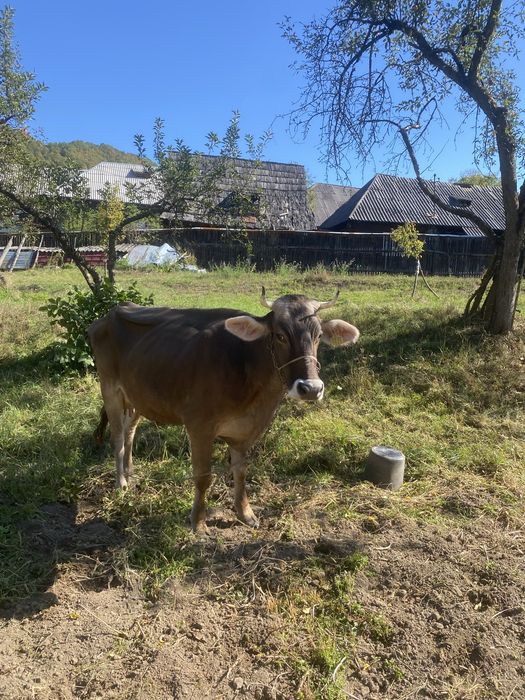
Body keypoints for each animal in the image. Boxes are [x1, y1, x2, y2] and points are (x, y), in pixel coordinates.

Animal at [88, 288, 359, 532]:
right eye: (281, 336)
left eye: (319, 336)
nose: (311, 388)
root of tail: (110, 314)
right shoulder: (199, 426)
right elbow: (203, 477)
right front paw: (198, 522)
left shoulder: (249, 429)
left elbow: (240, 472)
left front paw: (245, 513)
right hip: (110, 388)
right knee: (117, 437)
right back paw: (121, 483)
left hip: (137, 395)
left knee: (130, 430)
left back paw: (131, 473)